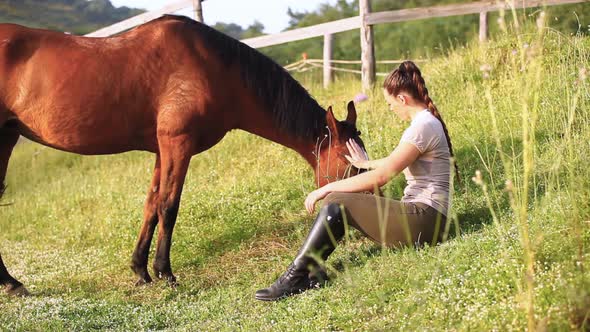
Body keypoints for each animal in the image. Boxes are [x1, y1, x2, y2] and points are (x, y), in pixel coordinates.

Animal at [0, 14, 368, 296]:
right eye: (350, 166)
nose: (357, 214)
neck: (213, 68)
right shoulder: (178, 144)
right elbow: (169, 206)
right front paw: (166, 273)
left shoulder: (162, 149)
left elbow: (151, 205)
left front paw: (141, 270)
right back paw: (12, 283)